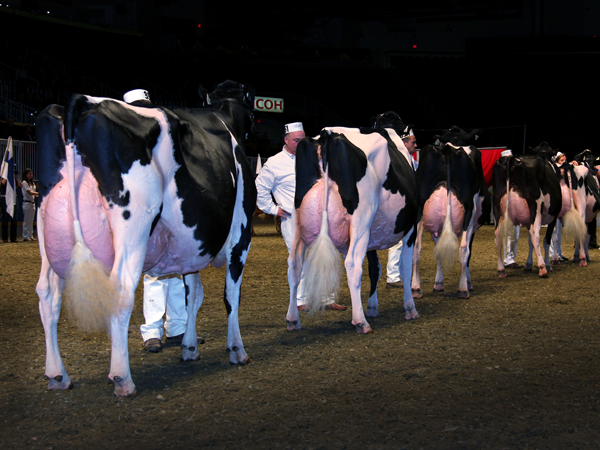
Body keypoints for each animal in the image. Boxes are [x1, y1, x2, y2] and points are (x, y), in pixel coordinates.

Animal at [35, 81, 255, 398]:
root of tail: (83, 101)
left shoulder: (192, 246)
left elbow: (193, 295)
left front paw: (189, 347)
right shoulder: (241, 234)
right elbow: (230, 295)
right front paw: (237, 349)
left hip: (47, 231)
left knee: (48, 294)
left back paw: (57, 375)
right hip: (134, 227)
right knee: (120, 291)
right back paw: (122, 379)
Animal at [284, 116, 418, 334]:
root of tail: (327, 134)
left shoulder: (372, 235)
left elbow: (375, 268)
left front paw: (372, 307)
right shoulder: (410, 228)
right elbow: (405, 267)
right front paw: (410, 308)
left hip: (298, 218)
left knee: (295, 264)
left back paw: (293, 320)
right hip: (362, 217)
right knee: (353, 264)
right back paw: (360, 321)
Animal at [410, 125, 490, 298]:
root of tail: (448, 147)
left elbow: (438, 250)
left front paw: (438, 283)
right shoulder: (473, 225)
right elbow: (468, 253)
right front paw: (468, 282)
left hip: (419, 210)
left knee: (416, 247)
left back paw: (415, 288)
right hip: (469, 211)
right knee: (464, 250)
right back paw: (463, 288)